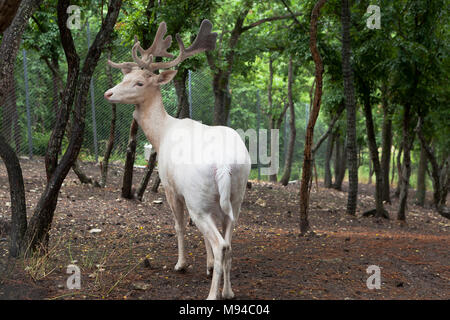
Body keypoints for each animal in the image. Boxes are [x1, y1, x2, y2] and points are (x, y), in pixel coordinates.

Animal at [104, 20, 251, 300]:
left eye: (139, 82)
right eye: (124, 78)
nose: (108, 94)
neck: (161, 134)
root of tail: (225, 165)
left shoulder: (170, 186)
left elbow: (179, 225)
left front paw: (181, 264)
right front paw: (207, 266)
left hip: (197, 198)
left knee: (220, 243)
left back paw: (212, 295)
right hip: (235, 198)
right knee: (229, 242)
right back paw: (228, 292)